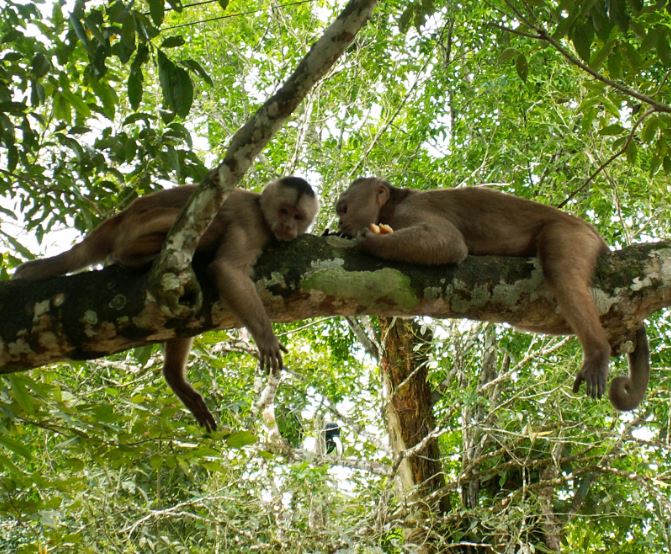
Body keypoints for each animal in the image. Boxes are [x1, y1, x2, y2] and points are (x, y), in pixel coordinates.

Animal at [13, 176, 320, 430]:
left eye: (298, 216)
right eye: (283, 211)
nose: (288, 227)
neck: (262, 211)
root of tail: (119, 218)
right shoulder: (252, 223)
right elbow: (227, 269)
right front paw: (265, 336)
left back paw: (173, 376)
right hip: (142, 226)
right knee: (209, 229)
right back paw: (134, 258)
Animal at [335, 177, 649, 411]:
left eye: (344, 209)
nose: (339, 225)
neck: (394, 204)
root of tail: (597, 237)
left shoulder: (410, 210)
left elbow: (448, 243)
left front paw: (368, 240)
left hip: (574, 236)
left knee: (560, 269)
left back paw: (597, 351)